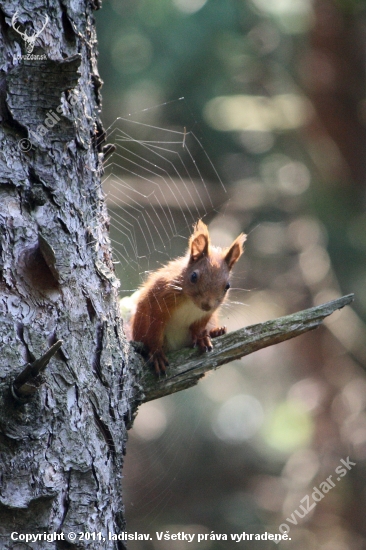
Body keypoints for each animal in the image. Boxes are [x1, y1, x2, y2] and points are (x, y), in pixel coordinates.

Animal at [132, 220, 246, 376]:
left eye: (227, 286)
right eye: (193, 276)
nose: (206, 305)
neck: (191, 302)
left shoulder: (208, 314)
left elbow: (199, 326)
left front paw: (201, 337)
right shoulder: (159, 300)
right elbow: (154, 329)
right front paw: (156, 353)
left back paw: (216, 332)